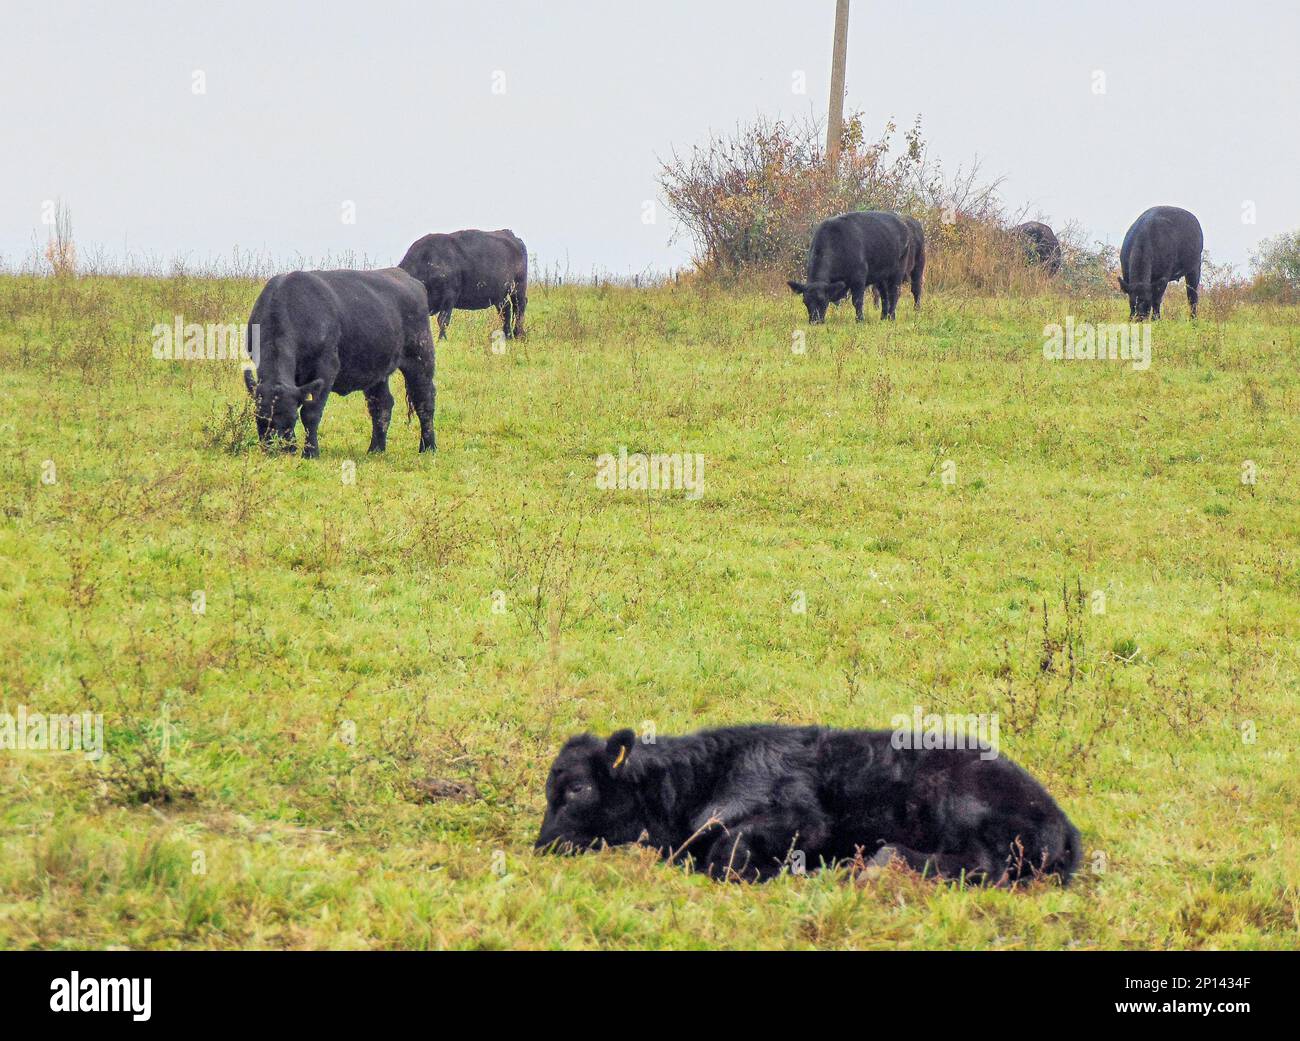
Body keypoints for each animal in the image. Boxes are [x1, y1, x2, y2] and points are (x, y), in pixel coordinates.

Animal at [242, 268, 436, 458]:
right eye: (259, 418)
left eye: (292, 418)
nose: (278, 448)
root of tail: (407, 277)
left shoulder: (327, 369)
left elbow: (310, 413)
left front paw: (311, 452)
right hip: (377, 369)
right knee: (382, 404)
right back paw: (375, 449)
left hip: (420, 357)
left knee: (424, 400)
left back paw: (428, 448)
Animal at [398, 229, 528, 341]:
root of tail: (510, 235)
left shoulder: (449, 297)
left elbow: (443, 320)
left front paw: (441, 341)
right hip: (499, 295)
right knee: (506, 310)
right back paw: (508, 336)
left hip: (518, 288)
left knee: (519, 307)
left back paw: (518, 335)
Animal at [535, 724, 1082, 886]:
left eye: (578, 789)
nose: (543, 845)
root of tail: (1063, 821)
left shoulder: (804, 820)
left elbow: (725, 857)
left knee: (986, 866)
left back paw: (876, 864)